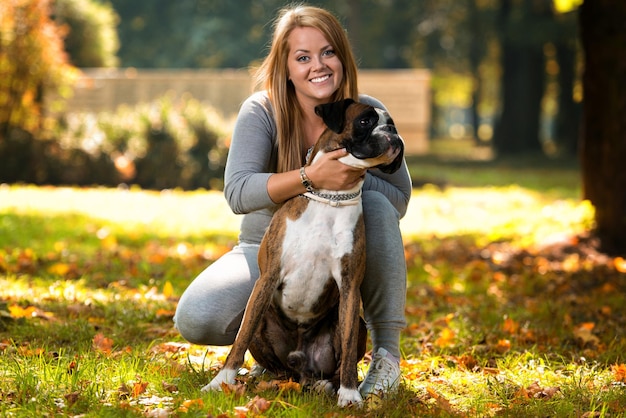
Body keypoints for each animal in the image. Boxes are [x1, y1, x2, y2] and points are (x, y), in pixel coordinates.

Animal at [202, 98, 402, 404]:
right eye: (365, 121)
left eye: (391, 123)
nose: (392, 132)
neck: (330, 198)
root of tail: (301, 365)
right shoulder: (268, 277)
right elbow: (240, 339)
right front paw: (220, 382)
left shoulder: (349, 286)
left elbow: (347, 353)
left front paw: (349, 394)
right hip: (263, 322)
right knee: (274, 362)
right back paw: (269, 380)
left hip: (354, 323)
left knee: (333, 365)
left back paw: (327, 385)